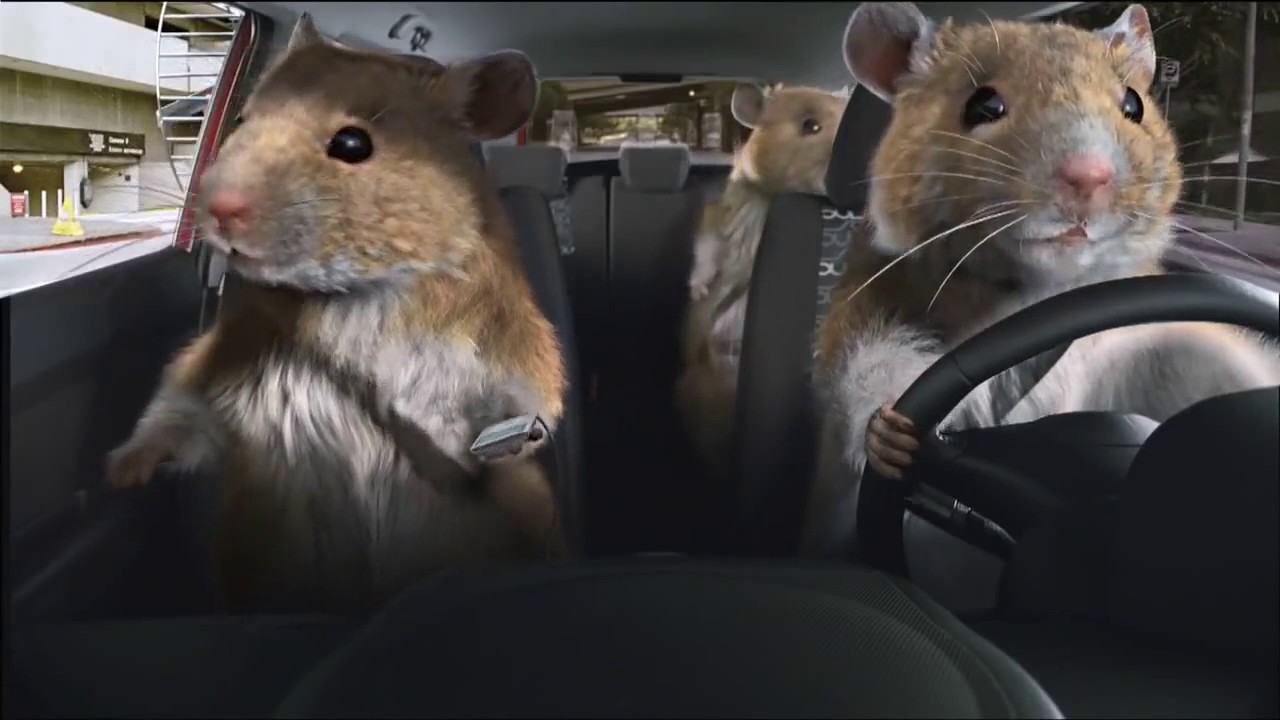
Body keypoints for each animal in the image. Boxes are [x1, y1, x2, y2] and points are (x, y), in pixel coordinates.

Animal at [105, 14, 567, 614]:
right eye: (242, 121)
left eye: (352, 143)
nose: (220, 209)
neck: (356, 296)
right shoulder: (228, 353)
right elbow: (178, 406)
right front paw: (123, 470)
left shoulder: (510, 349)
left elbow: (519, 407)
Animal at [803, 2, 1280, 556]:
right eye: (983, 105)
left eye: (1134, 104)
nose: (1090, 179)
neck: (1038, 290)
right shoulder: (867, 299)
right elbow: (866, 365)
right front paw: (892, 433)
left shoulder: (1137, 339)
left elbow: (1201, 353)